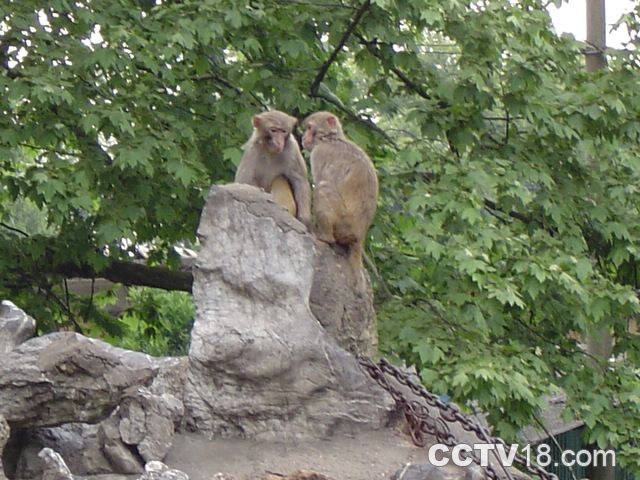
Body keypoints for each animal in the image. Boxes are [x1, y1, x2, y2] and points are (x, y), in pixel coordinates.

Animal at [302, 111, 378, 279]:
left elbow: (319, 181)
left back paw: (325, 236)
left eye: (309, 128)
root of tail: (360, 236)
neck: (330, 138)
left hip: (344, 224)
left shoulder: (319, 153)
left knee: (323, 187)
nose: (303, 137)